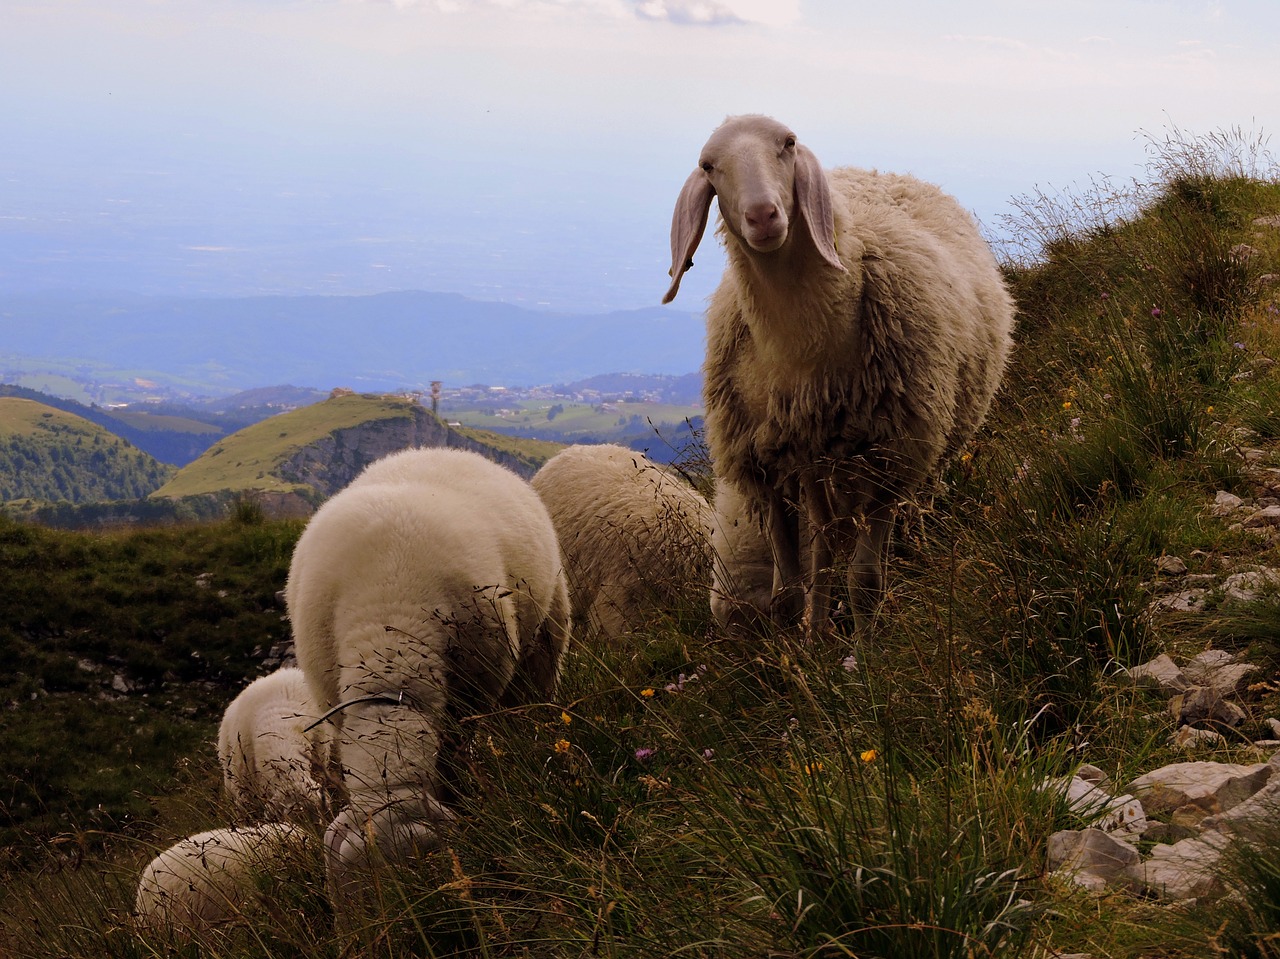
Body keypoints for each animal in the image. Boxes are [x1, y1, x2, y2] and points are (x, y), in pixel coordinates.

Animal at [665, 113, 1013, 635]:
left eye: (788, 144)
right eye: (709, 165)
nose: (763, 216)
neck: (801, 348)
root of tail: (882, 172)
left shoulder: (892, 453)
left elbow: (864, 581)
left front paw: (867, 650)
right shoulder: (764, 459)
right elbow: (789, 591)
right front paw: (804, 648)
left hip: (916, 443)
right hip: (817, 460)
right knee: (826, 542)